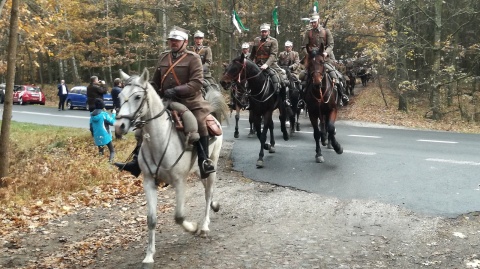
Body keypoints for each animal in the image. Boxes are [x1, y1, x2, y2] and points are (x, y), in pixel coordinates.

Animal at [116, 68, 223, 266]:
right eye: (119, 96)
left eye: (137, 97)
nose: (119, 126)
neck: (159, 139)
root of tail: (211, 115)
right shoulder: (149, 182)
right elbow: (151, 219)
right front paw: (149, 255)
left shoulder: (180, 182)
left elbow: (179, 216)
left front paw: (193, 227)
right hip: (198, 170)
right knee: (207, 190)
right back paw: (214, 206)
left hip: (211, 165)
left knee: (208, 193)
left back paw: (204, 226)